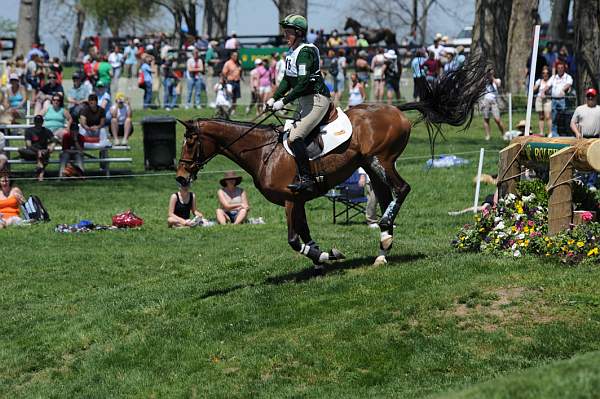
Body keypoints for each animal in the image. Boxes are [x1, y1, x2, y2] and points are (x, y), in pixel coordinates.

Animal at [176, 55, 490, 268]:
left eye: (190, 142)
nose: (180, 177)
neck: (263, 152)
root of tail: (395, 109)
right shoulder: (298, 201)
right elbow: (306, 235)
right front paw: (322, 258)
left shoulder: (290, 199)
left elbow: (294, 240)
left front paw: (327, 255)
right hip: (370, 166)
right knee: (386, 196)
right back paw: (382, 249)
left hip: (382, 159)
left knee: (401, 190)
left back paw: (385, 233)